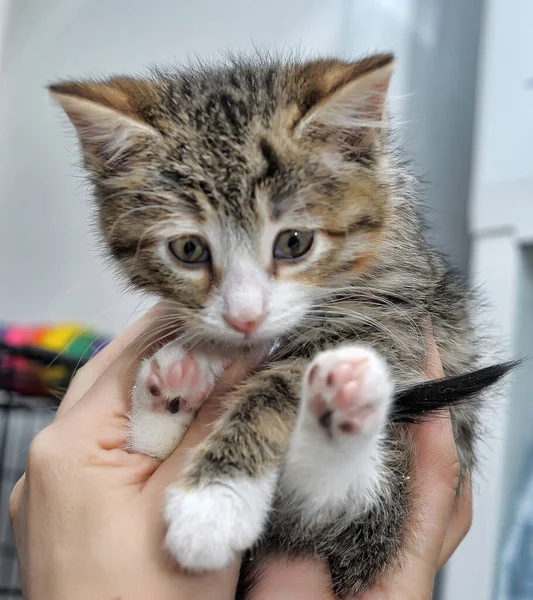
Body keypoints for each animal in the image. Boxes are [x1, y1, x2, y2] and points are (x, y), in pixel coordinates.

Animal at [51, 54, 512, 596]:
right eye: (188, 249)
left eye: (294, 242)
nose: (244, 316)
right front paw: (203, 357)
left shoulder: (391, 310)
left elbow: (277, 388)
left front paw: (214, 503)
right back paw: (173, 392)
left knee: (339, 506)